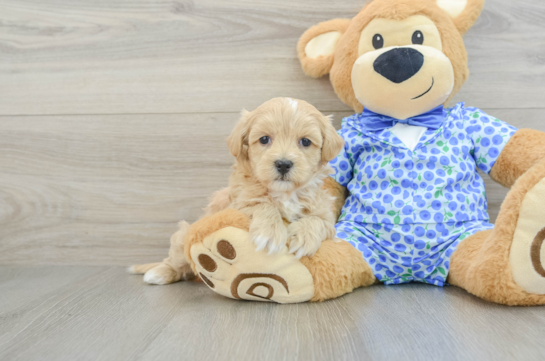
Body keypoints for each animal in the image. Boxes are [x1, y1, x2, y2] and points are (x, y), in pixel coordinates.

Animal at [130, 97, 342, 284]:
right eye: (264, 139)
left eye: (305, 142)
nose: (283, 164)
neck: (285, 194)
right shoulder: (235, 205)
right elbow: (261, 204)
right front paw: (269, 233)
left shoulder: (327, 217)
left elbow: (318, 221)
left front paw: (304, 238)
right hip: (183, 237)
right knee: (176, 261)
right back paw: (159, 273)